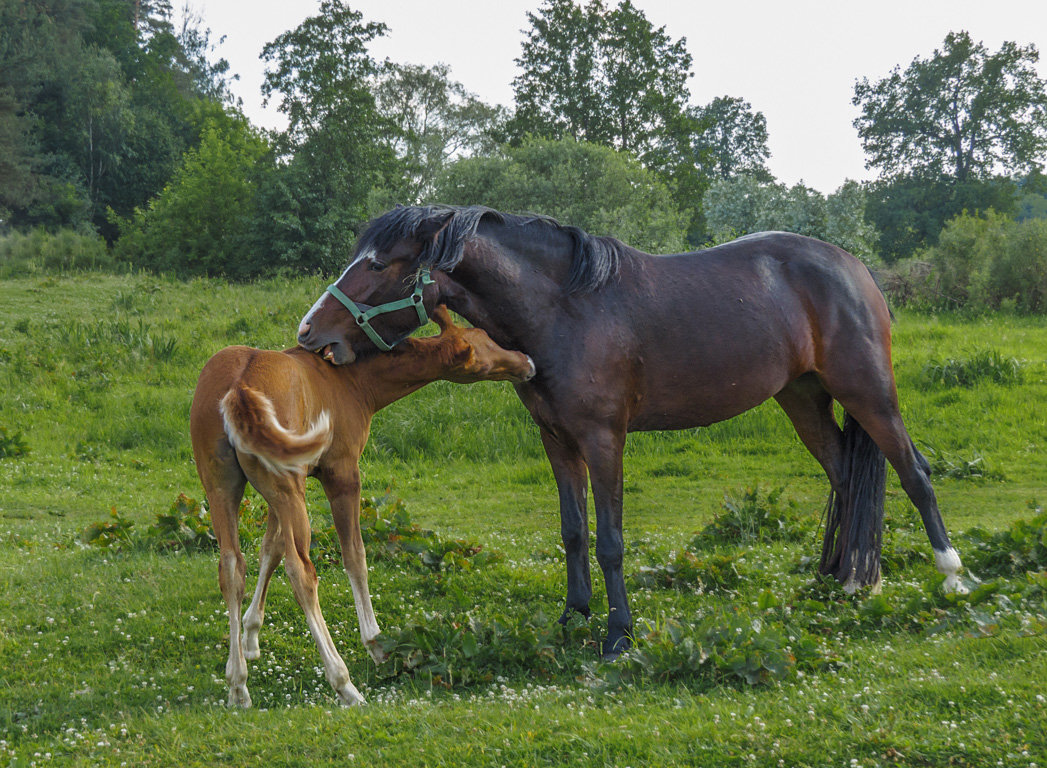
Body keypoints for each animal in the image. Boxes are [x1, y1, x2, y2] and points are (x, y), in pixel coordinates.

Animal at [188, 307, 531, 711]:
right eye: (484, 347)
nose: (527, 362)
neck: (349, 382)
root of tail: (239, 387)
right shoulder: (342, 475)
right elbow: (354, 555)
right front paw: (376, 643)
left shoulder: (283, 488)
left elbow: (269, 548)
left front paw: (251, 635)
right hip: (287, 488)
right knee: (302, 572)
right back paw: (344, 683)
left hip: (227, 487)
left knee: (231, 567)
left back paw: (238, 686)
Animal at [295, 202, 963, 657]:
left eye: (378, 264)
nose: (309, 334)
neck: (564, 310)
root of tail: (853, 267)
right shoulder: (556, 440)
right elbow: (573, 531)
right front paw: (573, 616)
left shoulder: (602, 438)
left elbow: (611, 539)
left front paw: (618, 634)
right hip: (802, 399)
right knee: (846, 480)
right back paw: (843, 581)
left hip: (868, 392)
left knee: (914, 473)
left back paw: (951, 579)